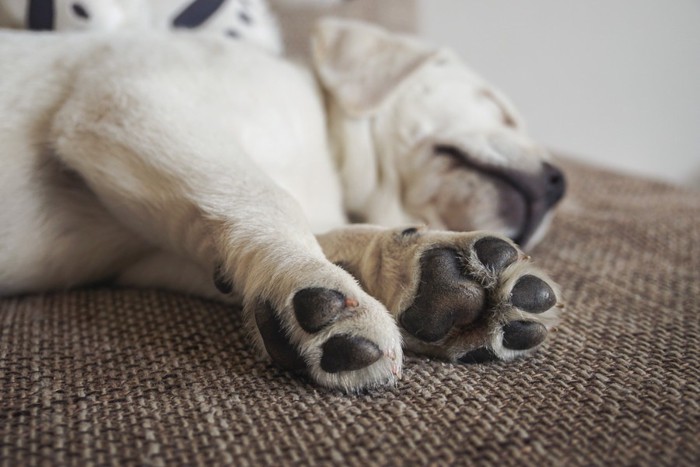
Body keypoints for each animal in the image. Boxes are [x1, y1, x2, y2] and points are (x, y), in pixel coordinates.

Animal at [0, 19, 568, 392]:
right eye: (497, 108)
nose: (561, 184)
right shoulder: (132, 108)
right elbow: (269, 196)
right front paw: (313, 283)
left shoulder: (156, 251)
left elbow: (314, 234)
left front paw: (418, 271)